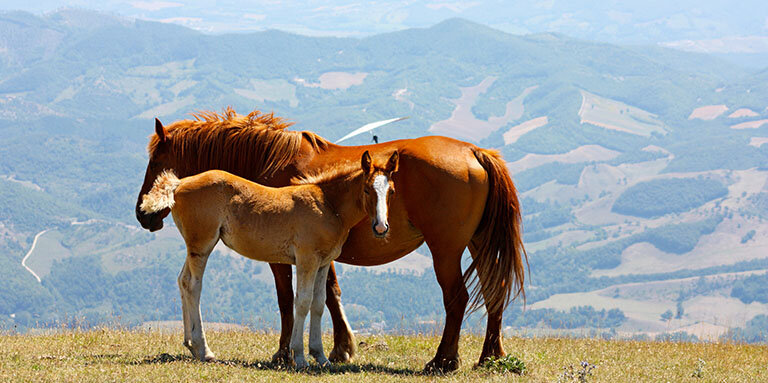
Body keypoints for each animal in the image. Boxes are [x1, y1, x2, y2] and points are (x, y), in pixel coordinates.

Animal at [140, 151, 402, 368]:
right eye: (367, 189)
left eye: (391, 191)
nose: (381, 227)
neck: (328, 204)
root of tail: (179, 183)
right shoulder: (306, 259)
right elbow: (303, 302)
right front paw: (299, 357)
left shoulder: (323, 263)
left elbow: (318, 304)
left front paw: (321, 357)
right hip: (202, 244)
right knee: (194, 285)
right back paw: (205, 351)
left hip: (195, 246)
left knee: (183, 281)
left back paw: (191, 345)